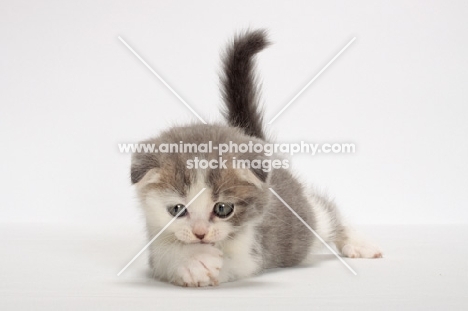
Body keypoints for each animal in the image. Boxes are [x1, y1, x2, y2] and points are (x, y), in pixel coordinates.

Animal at [131, 29, 380, 288]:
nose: (200, 233)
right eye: (177, 209)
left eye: (223, 208)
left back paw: (358, 243)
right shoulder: (155, 238)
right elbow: (164, 254)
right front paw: (191, 260)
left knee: (328, 214)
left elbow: (233, 262)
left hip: (310, 218)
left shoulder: (254, 250)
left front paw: (200, 261)